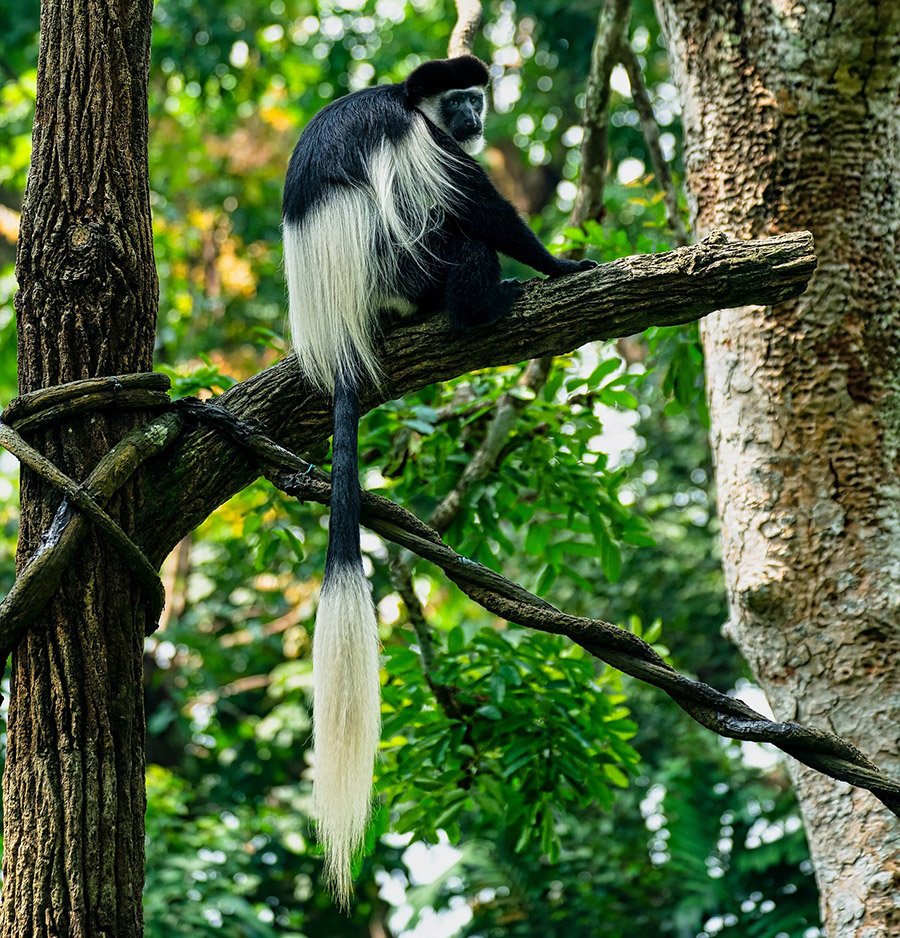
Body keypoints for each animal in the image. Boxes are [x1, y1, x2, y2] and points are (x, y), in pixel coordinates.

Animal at [282, 53, 592, 900]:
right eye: (461, 99)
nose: (477, 114)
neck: (406, 98)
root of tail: (340, 332)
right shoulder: (419, 139)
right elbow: (477, 204)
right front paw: (559, 263)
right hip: (407, 267)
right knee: (452, 229)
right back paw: (484, 302)